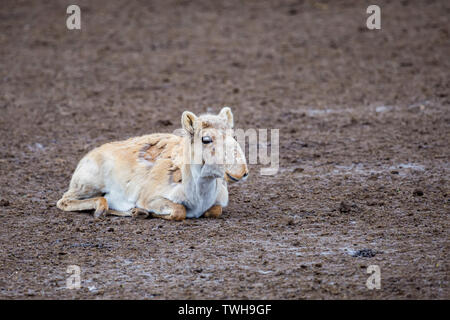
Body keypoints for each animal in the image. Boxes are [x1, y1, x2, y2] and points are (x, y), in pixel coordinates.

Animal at [56, 107, 248, 220]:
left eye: (233, 135)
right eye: (206, 139)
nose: (241, 171)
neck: (200, 197)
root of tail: (85, 159)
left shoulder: (218, 204)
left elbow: (215, 211)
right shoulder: (151, 198)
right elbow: (179, 211)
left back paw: (135, 212)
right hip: (87, 186)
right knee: (65, 201)